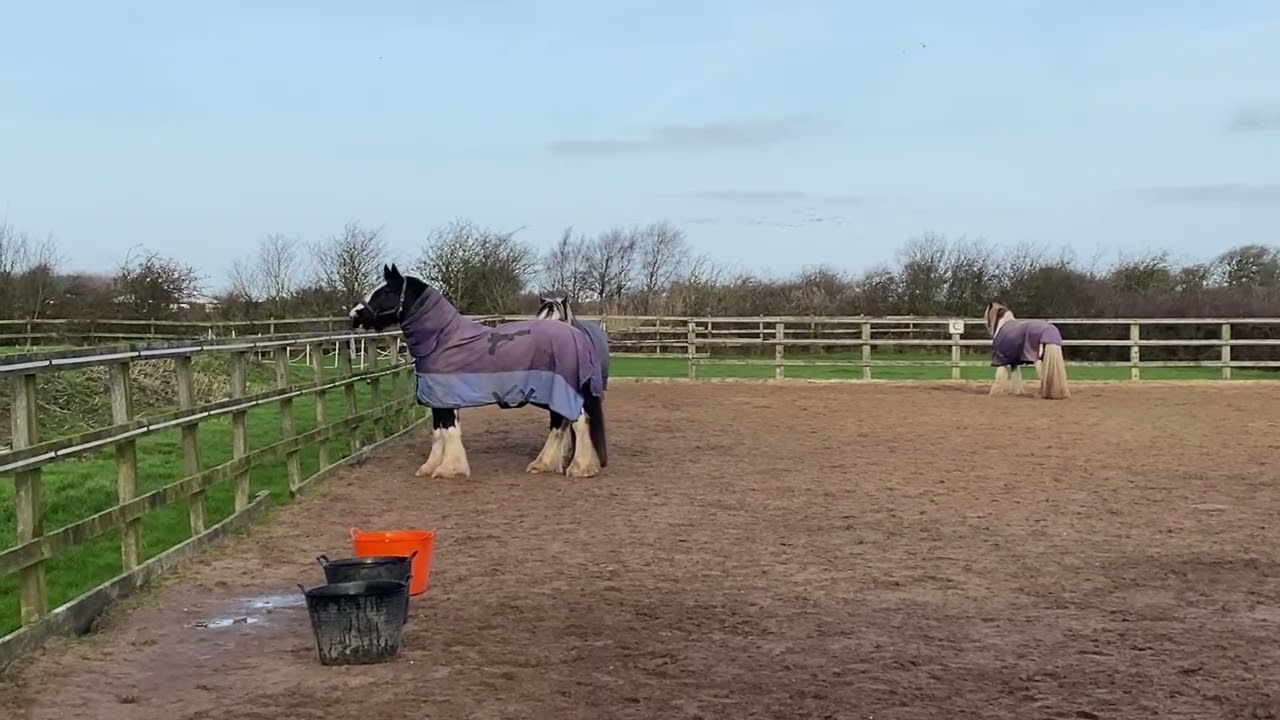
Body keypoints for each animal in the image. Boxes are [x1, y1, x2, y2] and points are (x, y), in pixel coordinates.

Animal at [349, 264, 610, 479]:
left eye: (386, 292)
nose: (354, 315)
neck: (443, 340)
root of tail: (576, 336)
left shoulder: (445, 398)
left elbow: (449, 431)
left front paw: (449, 469)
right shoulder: (438, 400)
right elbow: (438, 433)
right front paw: (430, 467)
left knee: (577, 422)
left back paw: (580, 468)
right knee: (560, 424)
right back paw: (545, 464)